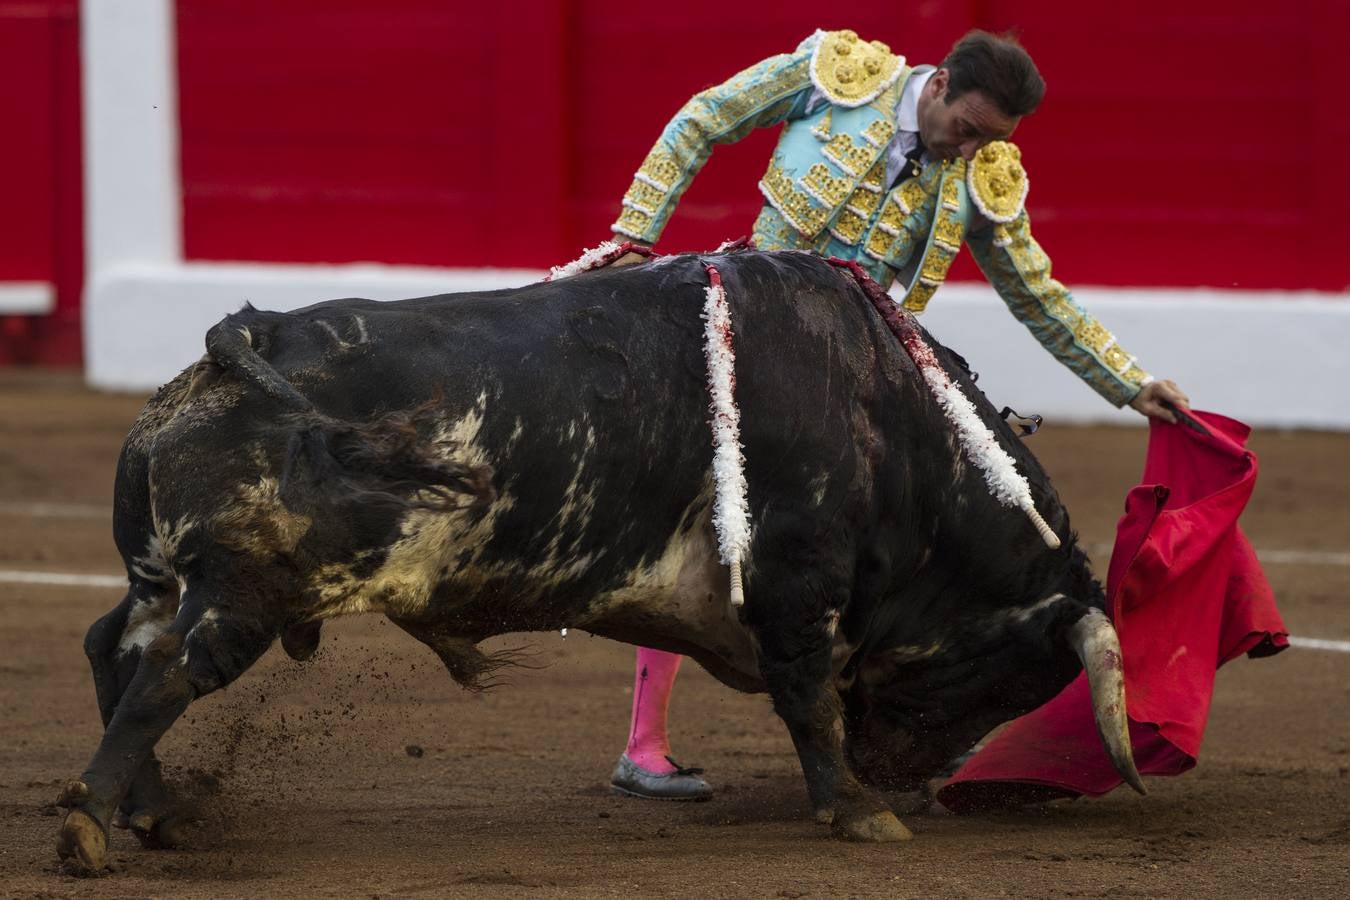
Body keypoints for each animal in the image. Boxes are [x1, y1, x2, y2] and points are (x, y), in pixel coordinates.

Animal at [58, 248, 1144, 874]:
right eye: (1017, 670)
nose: (906, 776)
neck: (894, 424)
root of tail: (242, 341)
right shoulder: (800, 580)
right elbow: (808, 696)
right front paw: (857, 810)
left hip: (166, 573)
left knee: (117, 647)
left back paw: (145, 813)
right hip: (253, 587)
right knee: (166, 670)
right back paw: (90, 831)